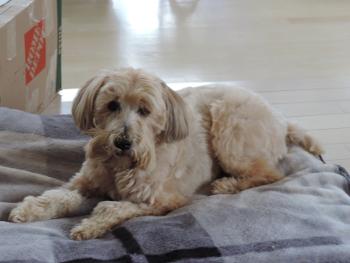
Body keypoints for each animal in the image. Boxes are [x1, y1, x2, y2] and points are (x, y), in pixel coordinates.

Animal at [8, 68, 324, 241]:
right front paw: (28, 210)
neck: (120, 166)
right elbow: (57, 196)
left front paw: (90, 225)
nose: (123, 142)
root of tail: (281, 120)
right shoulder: (83, 182)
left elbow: (111, 207)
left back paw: (226, 184)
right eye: (112, 105)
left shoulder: (162, 200)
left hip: (230, 131)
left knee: (268, 174)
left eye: (145, 110)